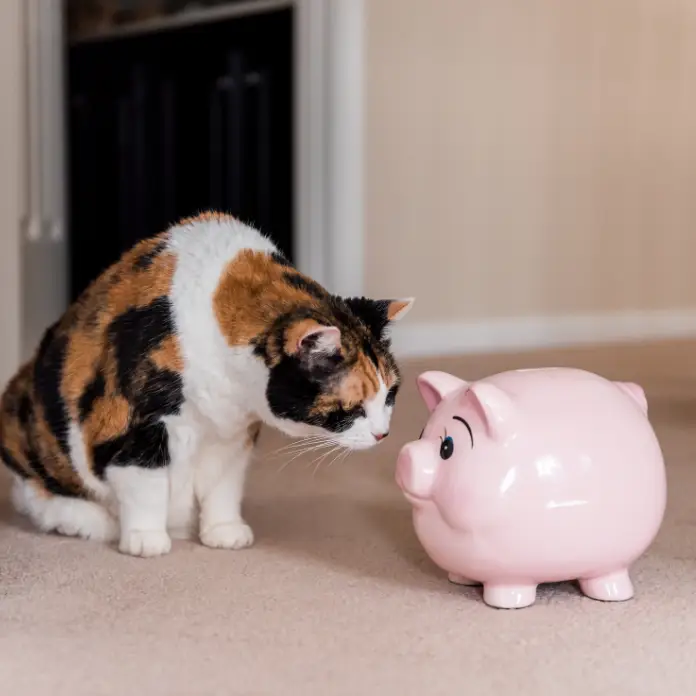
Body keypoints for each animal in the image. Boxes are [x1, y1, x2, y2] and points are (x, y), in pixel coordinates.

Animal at [0, 211, 414, 556]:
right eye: (352, 408)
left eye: (390, 395)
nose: (383, 434)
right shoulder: (135, 424)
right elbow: (145, 484)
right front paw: (146, 539)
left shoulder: (233, 435)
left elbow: (223, 485)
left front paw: (223, 530)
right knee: (38, 495)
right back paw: (91, 522)